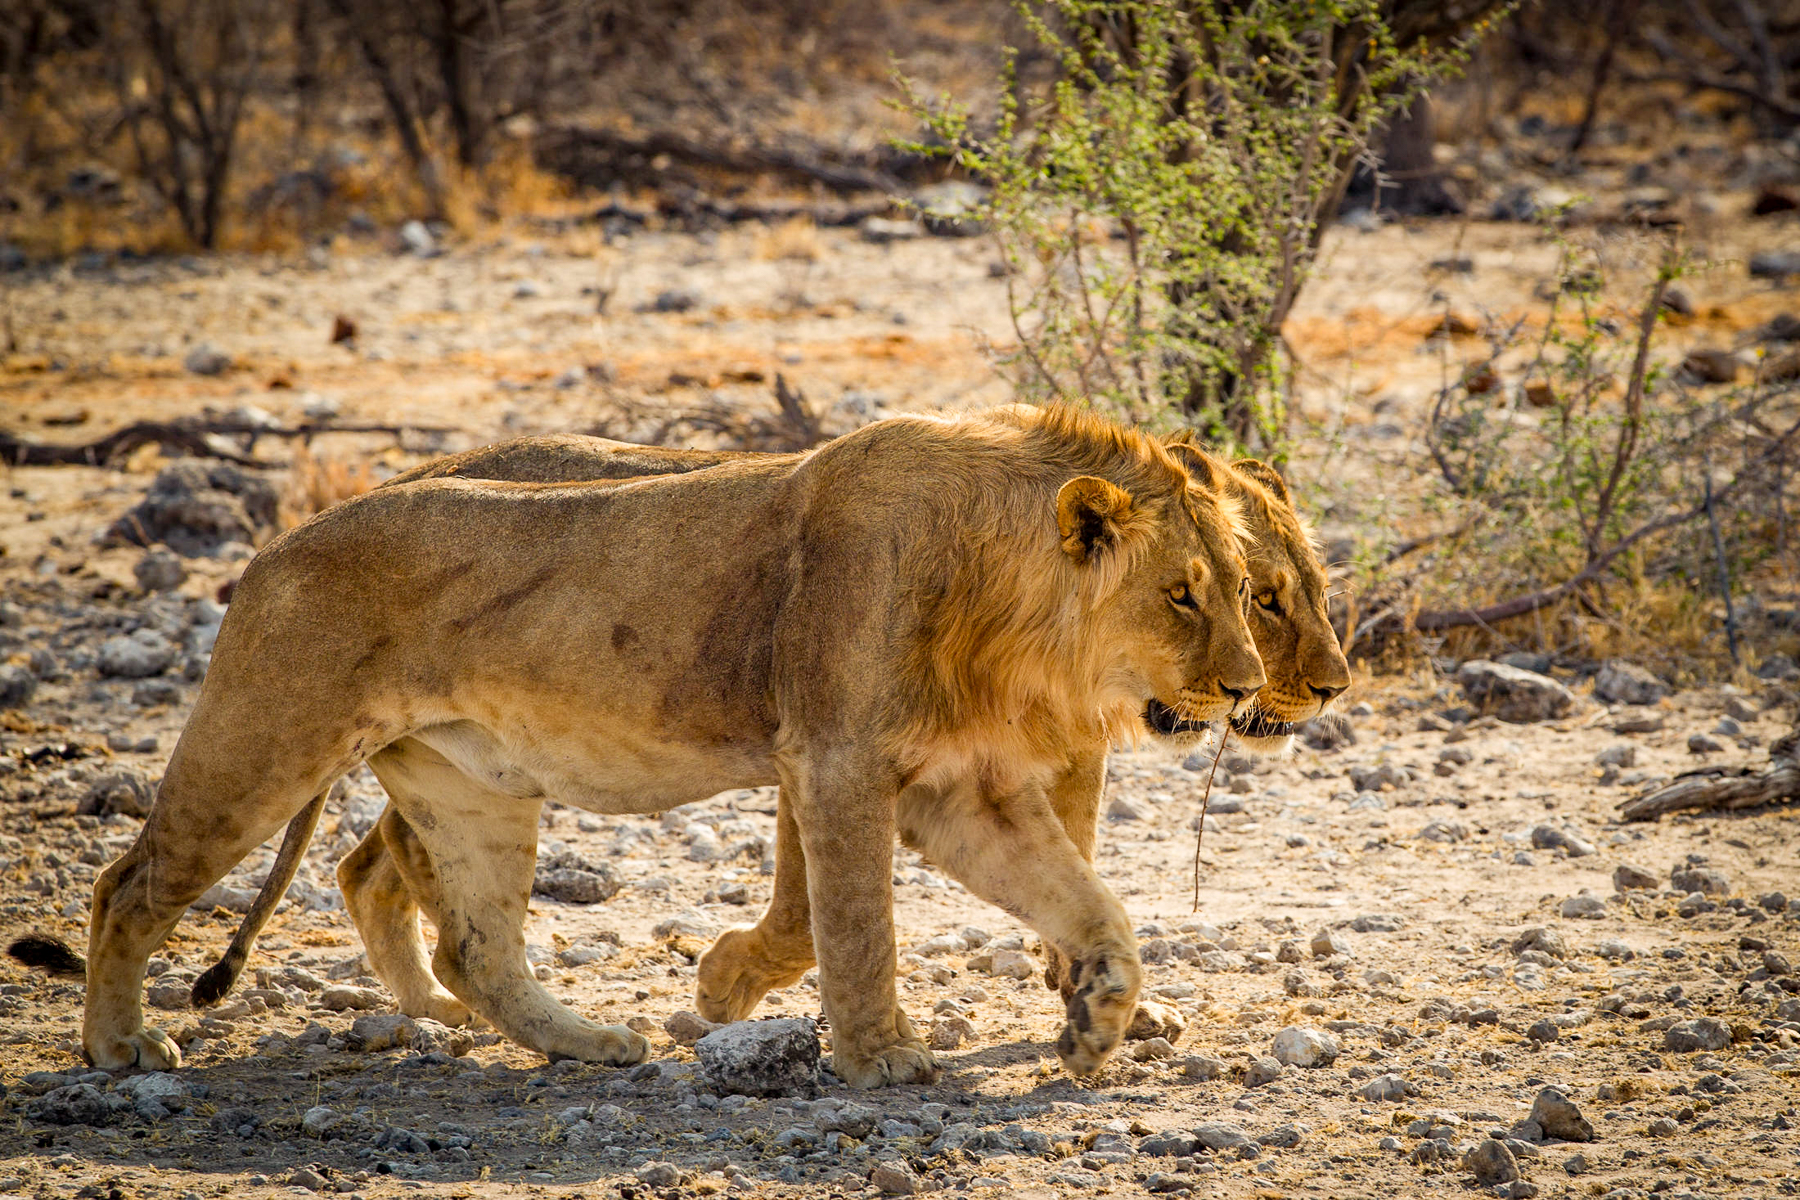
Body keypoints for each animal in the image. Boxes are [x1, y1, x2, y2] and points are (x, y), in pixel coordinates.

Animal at [13, 406, 1266, 1087]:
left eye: (1243, 588)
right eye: (1183, 595)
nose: (1248, 687)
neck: (1004, 605)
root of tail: (276, 544)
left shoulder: (962, 788)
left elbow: (1092, 905)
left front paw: (1097, 1026)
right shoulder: (838, 760)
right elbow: (857, 926)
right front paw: (878, 1059)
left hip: (469, 784)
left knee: (474, 944)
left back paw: (588, 1045)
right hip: (266, 739)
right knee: (128, 882)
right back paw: (120, 1049)